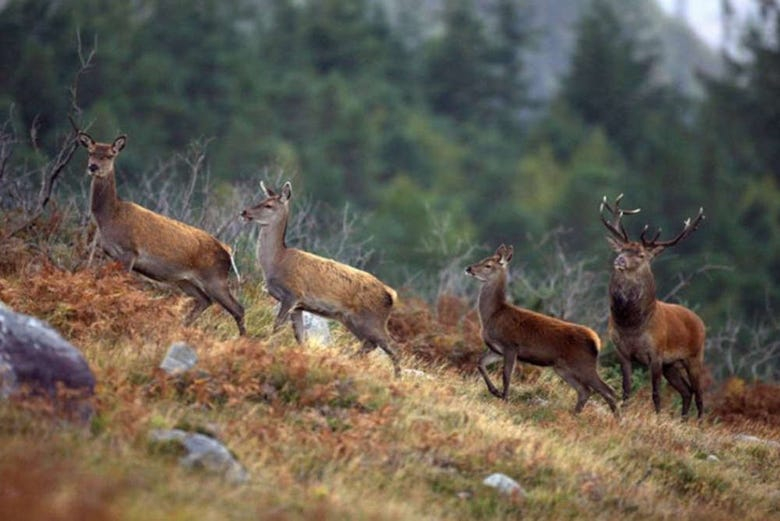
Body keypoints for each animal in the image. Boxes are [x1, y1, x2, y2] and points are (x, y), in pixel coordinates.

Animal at [76, 132, 245, 336]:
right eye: (90, 152)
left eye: (110, 154)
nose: (93, 167)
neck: (110, 217)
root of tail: (228, 251)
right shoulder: (109, 253)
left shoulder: (129, 252)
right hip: (185, 280)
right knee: (205, 300)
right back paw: (181, 327)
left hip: (215, 278)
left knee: (238, 308)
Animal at [241, 181, 402, 376]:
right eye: (261, 199)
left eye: (269, 205)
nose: (244, 212)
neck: (277, 261)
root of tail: (391, 295)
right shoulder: (299, 305)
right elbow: (300, 336)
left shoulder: (292, 294)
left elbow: (277, 326)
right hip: (352, 320)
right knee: (370, 344)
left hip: (372, 319)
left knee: (393, 347)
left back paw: (396, 377)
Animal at [466, 242, 620, 416]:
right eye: (482, 259)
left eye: (488, 265)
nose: (469, 268)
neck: (493, 314)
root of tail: (597, 341)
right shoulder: (496, 349)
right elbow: (480, 362)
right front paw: (495, 392)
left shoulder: (511, 345)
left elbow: (507, 375)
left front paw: (505, 399)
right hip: (562, 368)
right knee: (585, 391)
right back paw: (574, 415)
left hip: (583, 364)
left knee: (608, 391)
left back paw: (617, 420)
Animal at [596, 193, 708, 416]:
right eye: (622, 249)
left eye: (641, 255)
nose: (619, 260)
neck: (632, 325)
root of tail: (700, 321)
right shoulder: (622, 351)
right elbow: (626, 387)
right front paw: (623, 412)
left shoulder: (656, 353)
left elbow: (656, 393)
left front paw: (657, 416)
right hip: (671, 365)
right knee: (687, 391)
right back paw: (683, 420)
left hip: (694, 356)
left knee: (699, 394)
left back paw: (698, 422)